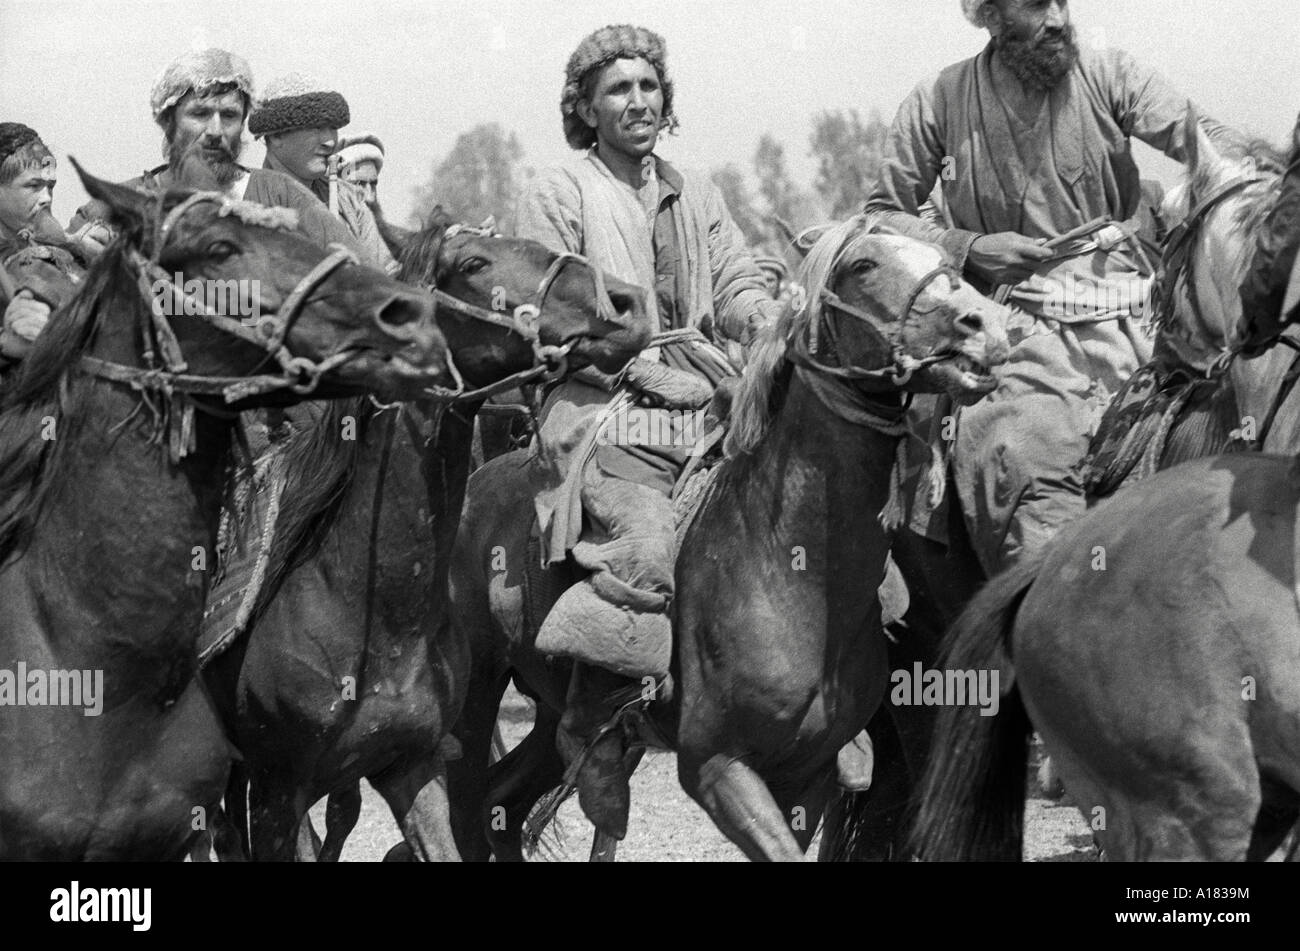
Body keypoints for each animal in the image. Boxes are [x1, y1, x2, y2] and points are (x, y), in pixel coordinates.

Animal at [447, 219, 1013, 867]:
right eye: (864, 266)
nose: (985, 327)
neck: (790, 568)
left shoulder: (806, 775)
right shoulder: (717, 767)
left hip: (546, 717)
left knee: (502, 806)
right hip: (471, 703)